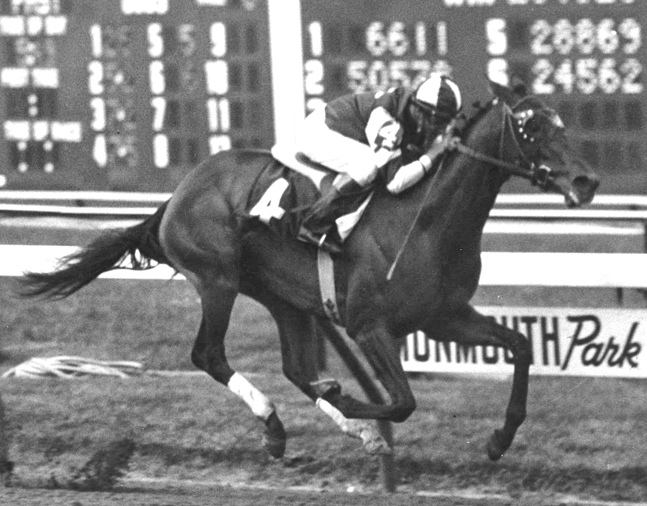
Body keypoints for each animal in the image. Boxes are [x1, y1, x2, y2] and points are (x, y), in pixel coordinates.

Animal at [19, 80, 596, 462]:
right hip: (217, 280)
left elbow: (519, 347)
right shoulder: (368, 325)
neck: (427, 220)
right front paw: (354, 403)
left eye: (562, 120)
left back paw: (335, 425)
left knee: (296, 368)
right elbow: (401, 402)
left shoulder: (443, 316)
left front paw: (500, 439)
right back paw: (277, 426)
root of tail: (176, 195)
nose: (586, 181)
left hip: (285, 300)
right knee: (209, 354)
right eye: (530, 125)